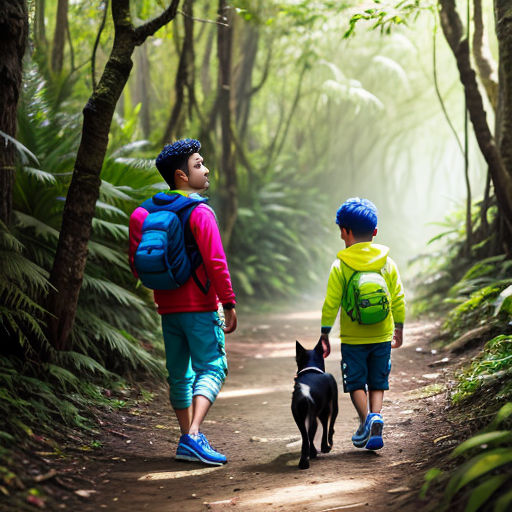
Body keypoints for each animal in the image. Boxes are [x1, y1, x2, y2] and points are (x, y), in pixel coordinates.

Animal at [290, 338, 338, 470]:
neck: (311, 369)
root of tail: (304, 395)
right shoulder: (330, 409)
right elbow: (328, 428)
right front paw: (326, 447)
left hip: (299, 418)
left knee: (305, 437)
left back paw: (304, 460)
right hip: (314, 417)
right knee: (311, 435)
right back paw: (309, 458)